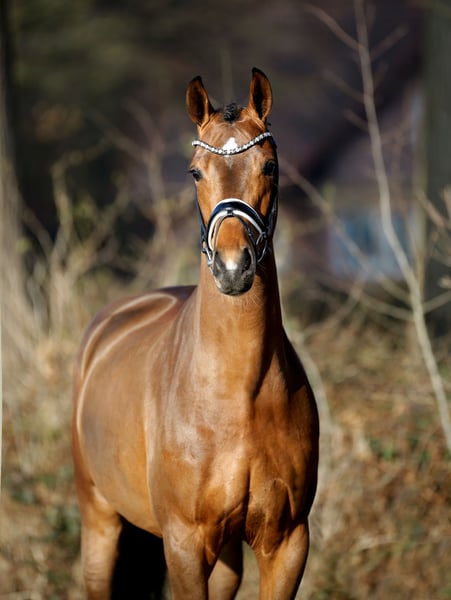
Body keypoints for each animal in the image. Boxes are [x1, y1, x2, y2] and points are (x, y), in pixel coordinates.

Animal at [72, 67, 319, 600]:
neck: (239, 394)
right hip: (99, 518)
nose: (232, 267)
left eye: (269, 167)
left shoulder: (287, 543)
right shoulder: (184, 543)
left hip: (225, 555)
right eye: (195, 172)